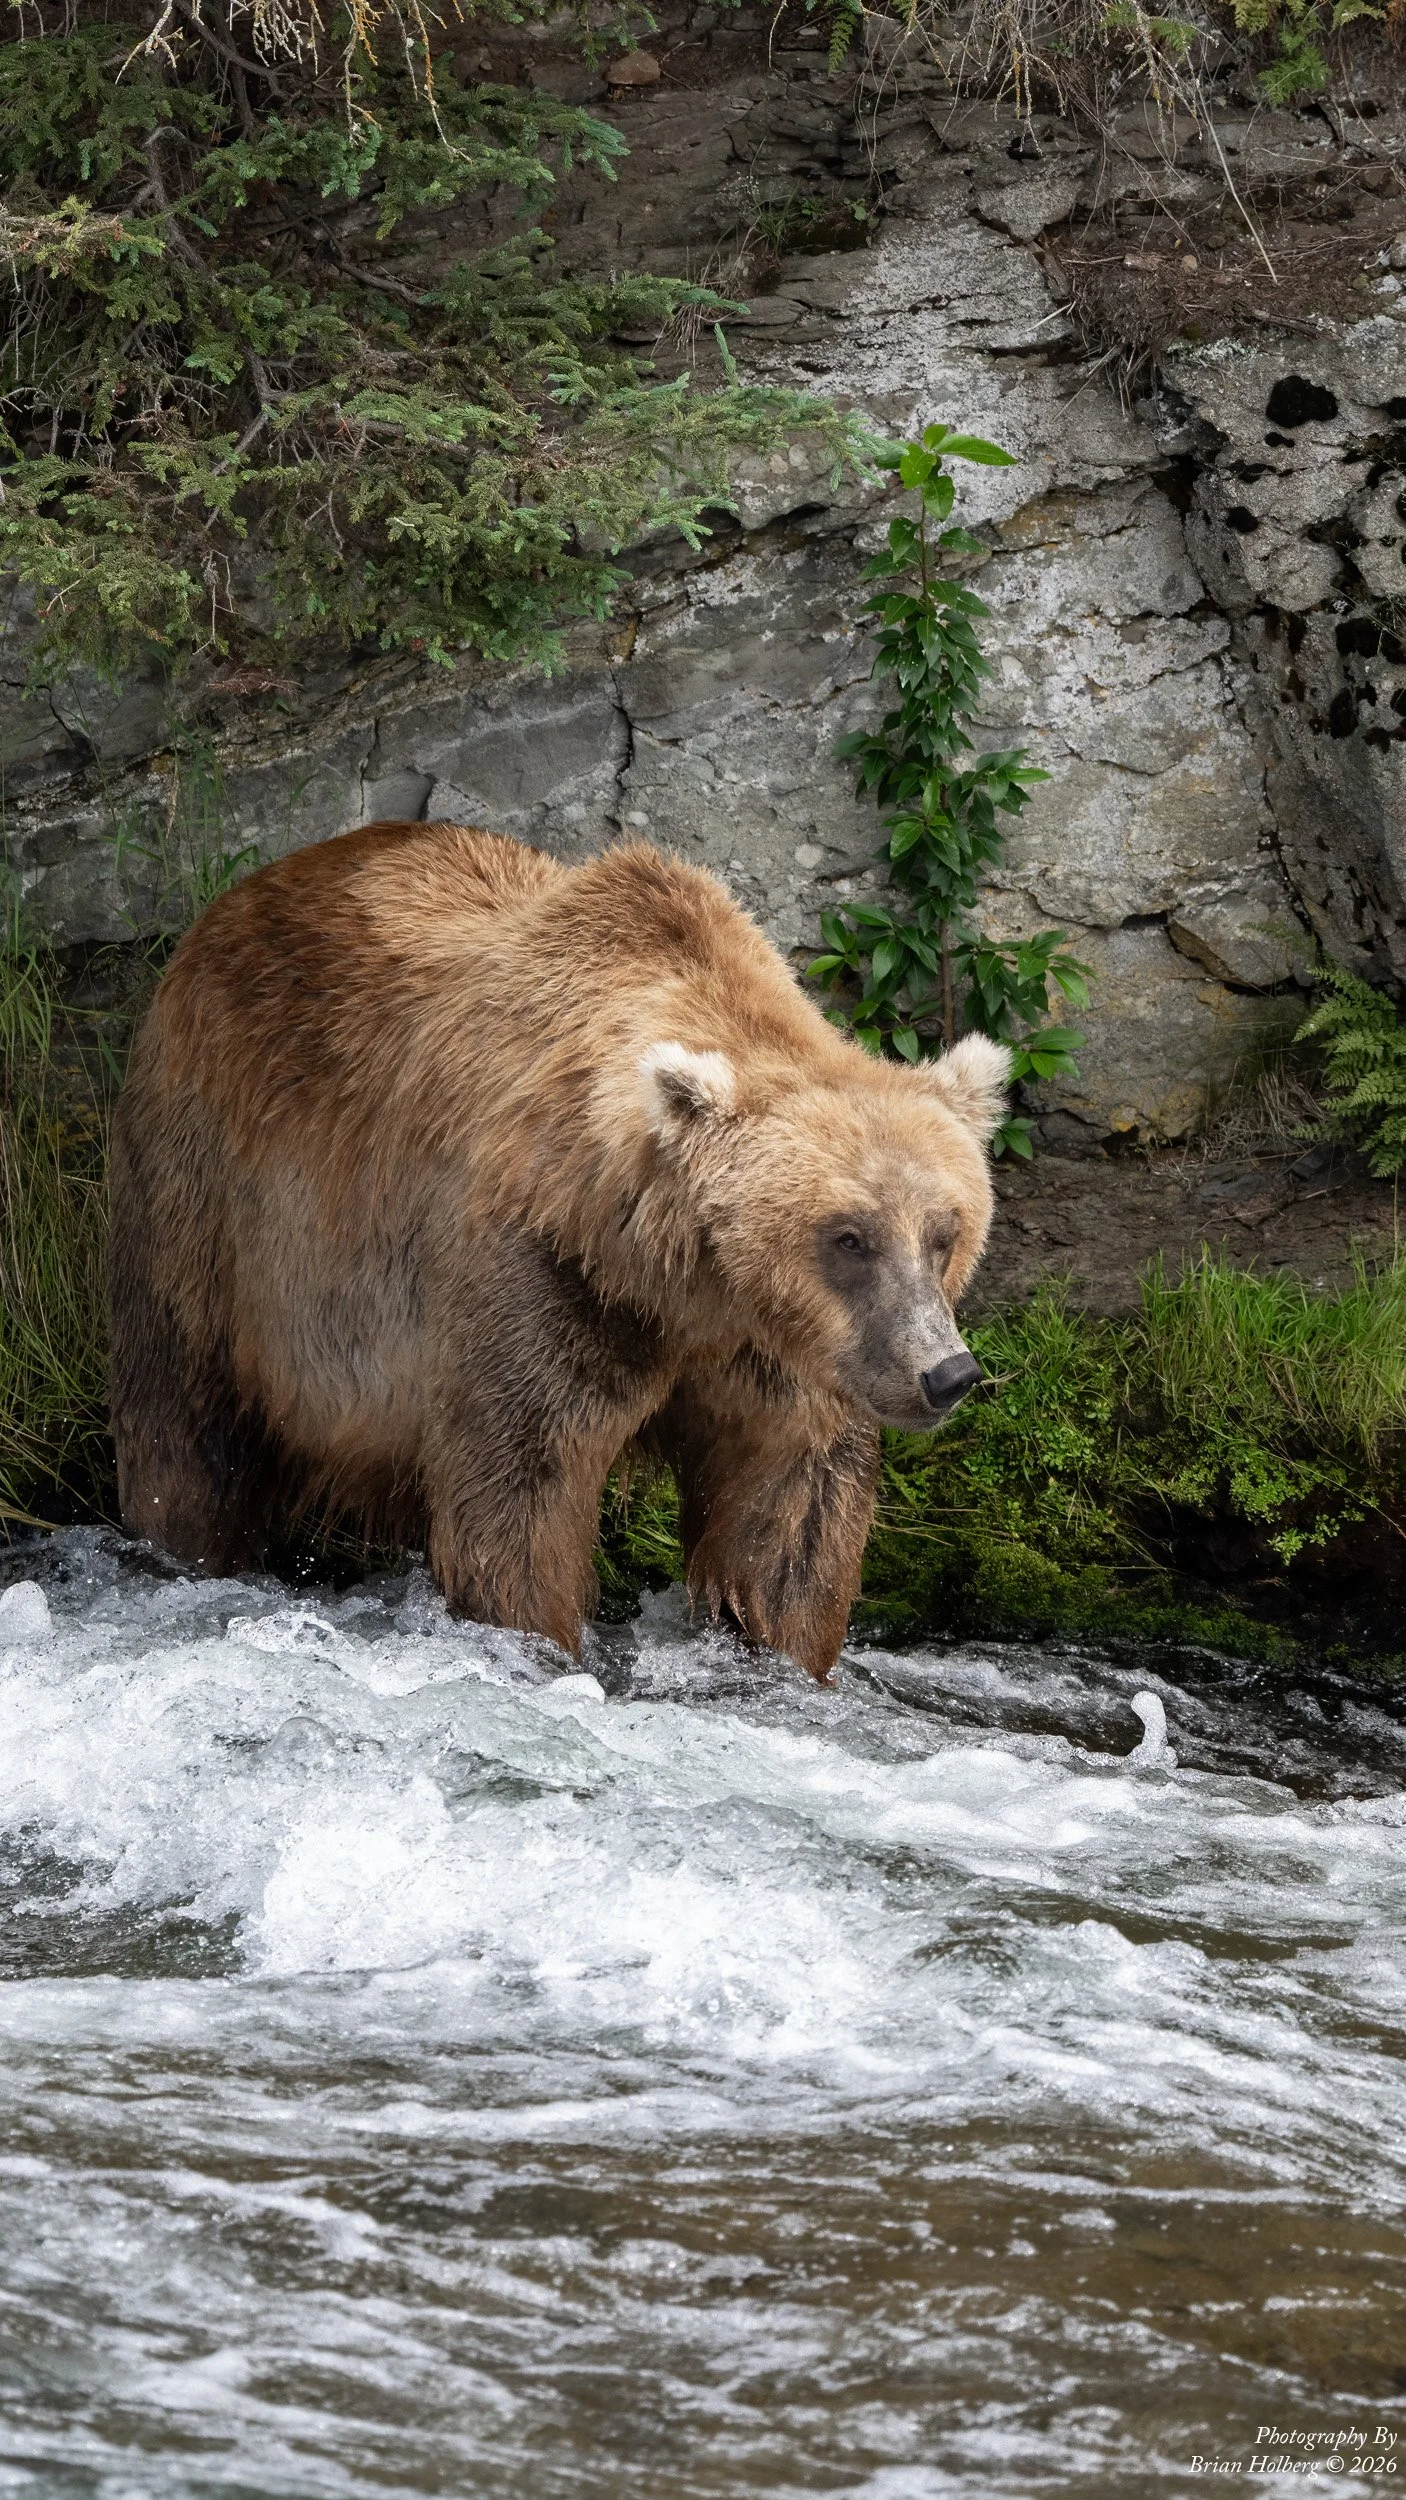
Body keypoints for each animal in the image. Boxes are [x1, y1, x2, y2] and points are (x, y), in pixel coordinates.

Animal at [109, 821, 1009, 1681]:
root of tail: (227, 907)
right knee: (186, 1417)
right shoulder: (544, 1273)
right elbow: (522, 1489)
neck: (674, 1280)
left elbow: (792, 1511)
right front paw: (542, 1641)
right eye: (849, 1237)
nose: (947, 1373)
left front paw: (784, 1652)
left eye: (945, 1231)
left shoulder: (780, 1350)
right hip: (212, 1198)